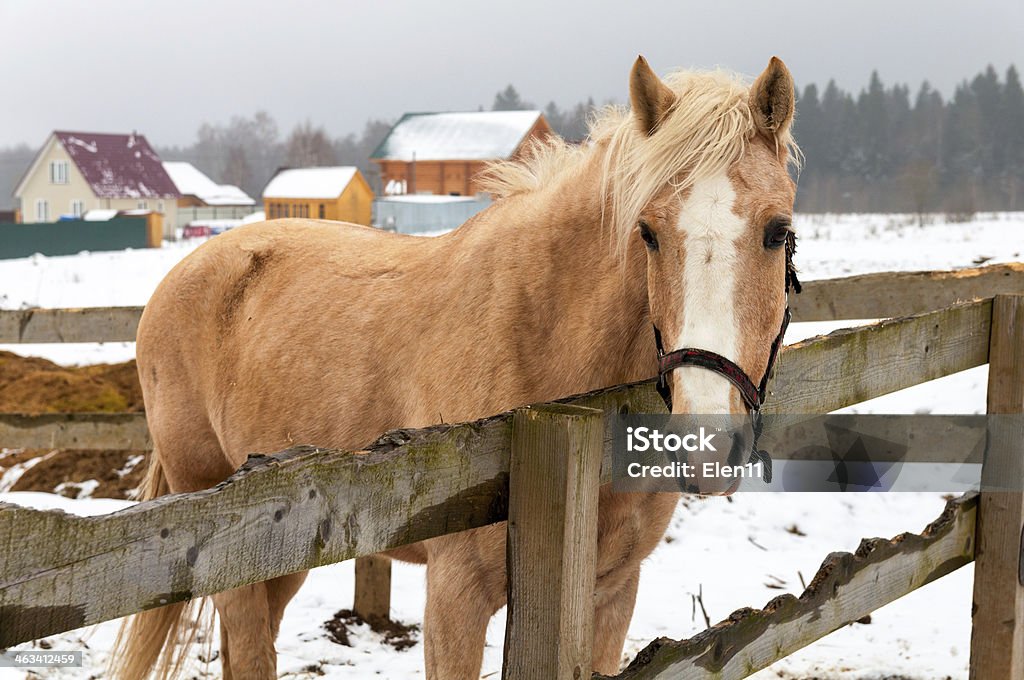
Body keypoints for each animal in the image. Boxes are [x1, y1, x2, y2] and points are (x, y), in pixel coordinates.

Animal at [114, 55, 798, 675]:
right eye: (648, 232)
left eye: (778, 231)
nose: (706, 445)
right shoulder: (456, 597)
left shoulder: (613, 589)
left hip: (280, 554)